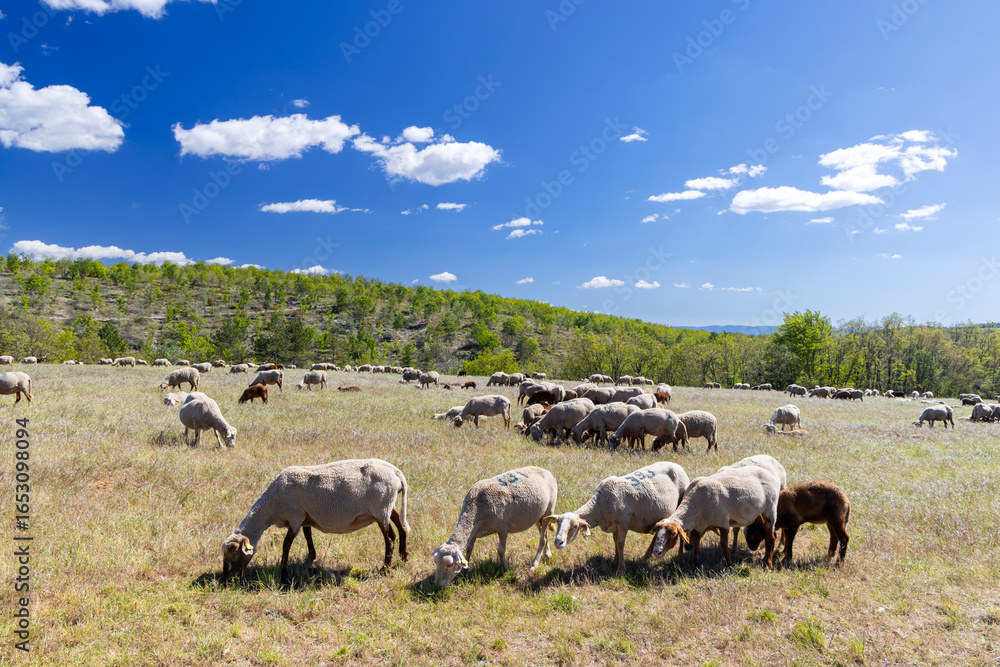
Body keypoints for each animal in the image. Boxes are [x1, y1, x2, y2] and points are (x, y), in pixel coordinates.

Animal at [222, 458, 409, 581]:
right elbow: (307, 535)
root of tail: (397, 473)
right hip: (387, 506)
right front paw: (311, 557)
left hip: (380, 508)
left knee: (390, 538)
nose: (226, 577)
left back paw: (385, 568)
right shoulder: (305, 516)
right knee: (401, 526)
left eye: (234, 554)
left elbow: (286, 544)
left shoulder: (295, 516)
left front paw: (283, 570)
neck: (272, 506)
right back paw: (404, 555)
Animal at [545, 461, 690, 573]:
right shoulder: (613, 524)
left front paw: (621, 568)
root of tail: (677, 465)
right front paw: (615, 560)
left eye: (574, 527)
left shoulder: (623, 523)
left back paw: (680, 555)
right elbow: (614, 541)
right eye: (558, 523)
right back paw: (646, 556)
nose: (558, 542)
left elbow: (620, 544)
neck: (601, 505)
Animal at [651, 465, 781, 568]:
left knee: (772, 537)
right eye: (656, 532)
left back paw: (768, 564)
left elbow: (724, 544)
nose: (657, 552)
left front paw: (729, 564)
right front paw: (695, 563)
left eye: (673, 534)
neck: (694, 505)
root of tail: (769, 473)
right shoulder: (700, 525)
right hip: (760, 513)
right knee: (768, 534)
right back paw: (765, 558)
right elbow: (697, 541)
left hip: (771, 509)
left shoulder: (722, 522)